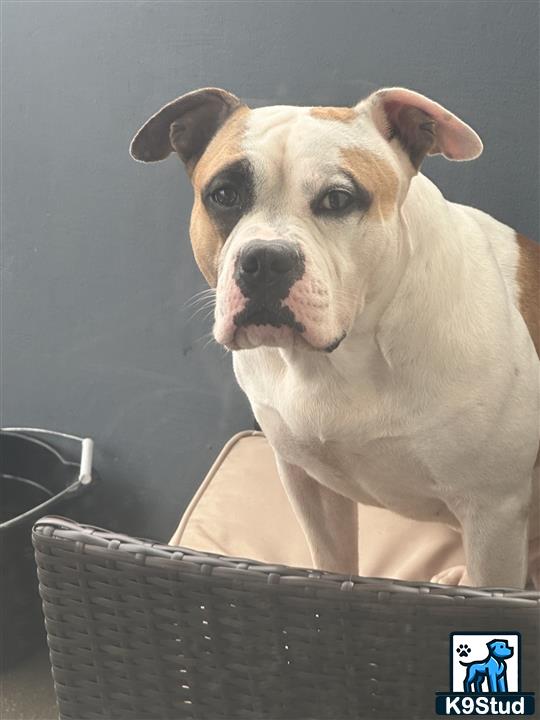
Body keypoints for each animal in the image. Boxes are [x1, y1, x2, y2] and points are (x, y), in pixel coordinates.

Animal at [131, 87, 540, 588]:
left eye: (338, 199)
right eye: (224, 195)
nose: (266, 260)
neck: (343, 358)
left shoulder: (492, 514)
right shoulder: (310, 486)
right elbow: (333, 561)